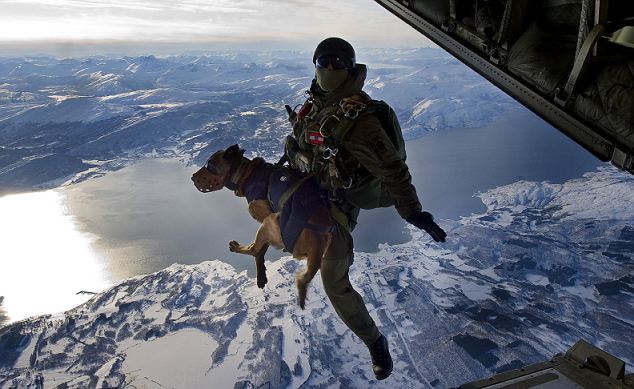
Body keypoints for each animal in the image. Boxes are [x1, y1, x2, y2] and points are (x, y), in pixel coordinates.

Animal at [190, 144, 334, 308]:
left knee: (253, 249)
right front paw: (261, 274)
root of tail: (317, 246)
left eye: (209, 164)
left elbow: (259, 250)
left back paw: (236, 247)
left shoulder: (265, 217)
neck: (248, 175)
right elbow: (262, 250)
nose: (192, 177)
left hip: (268, 223)